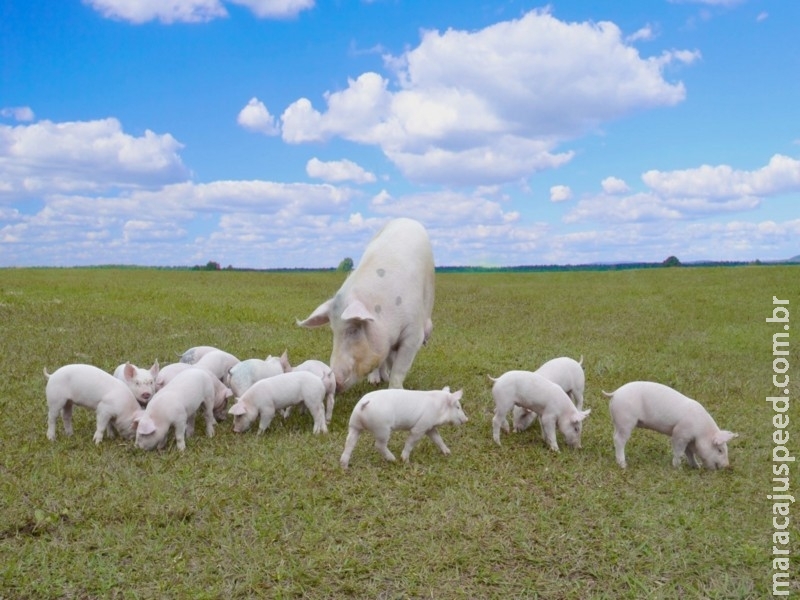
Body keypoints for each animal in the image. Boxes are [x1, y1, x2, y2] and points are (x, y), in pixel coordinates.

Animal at [296, 218, 434, 392]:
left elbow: (399, 368)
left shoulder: (414, 333)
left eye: (354, 329)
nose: (336, 382)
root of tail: (406, 219)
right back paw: (375, 381)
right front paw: (378, 382)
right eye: (333, 331)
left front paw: (395, 389)